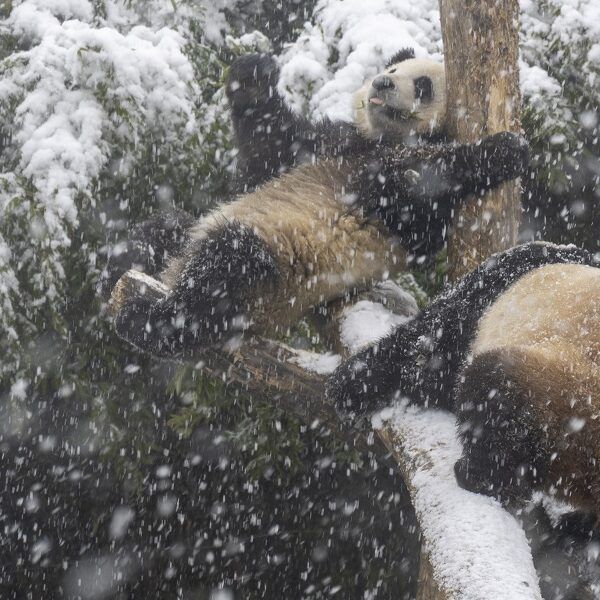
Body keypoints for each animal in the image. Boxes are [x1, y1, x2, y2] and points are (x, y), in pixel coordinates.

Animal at [108, 50, 528, 356]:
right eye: (392, 67)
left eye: (423, 86)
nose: (382, 82)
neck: (381, 140)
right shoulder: (329, 144)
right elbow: (272, 147)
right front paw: (254, 74)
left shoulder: (411, 210)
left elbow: (411, 196)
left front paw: (504, 150)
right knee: (166, 228)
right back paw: (126, 265)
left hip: (272, 274)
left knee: (224, 273)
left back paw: (147, 321)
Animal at [328, 241, 600, 512]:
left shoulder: (483, 299)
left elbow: (423, 360)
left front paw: (348, 385)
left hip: (563, 387)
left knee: (494, 394)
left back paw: (478, 475)